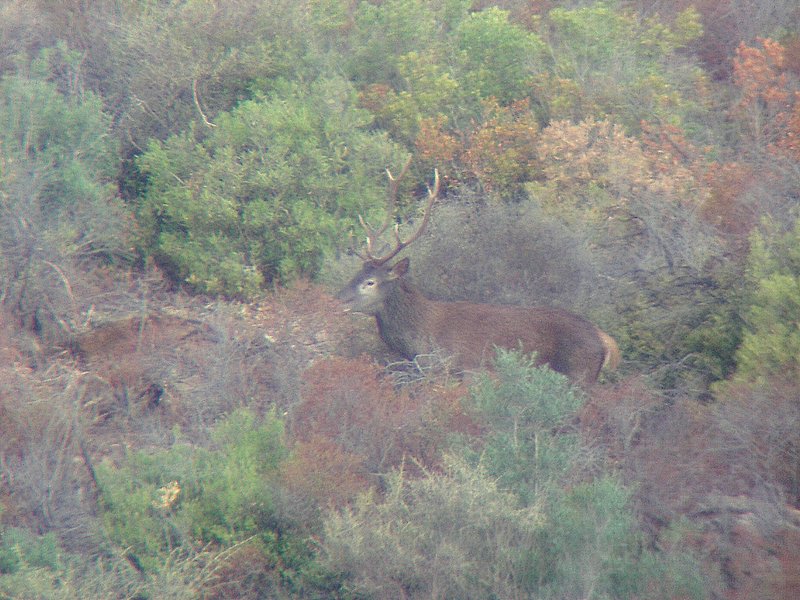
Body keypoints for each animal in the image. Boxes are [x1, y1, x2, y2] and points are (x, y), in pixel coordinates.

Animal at [334, 159, 620, 386]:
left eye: (370, 282)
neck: (422, 341)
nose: (336, 300)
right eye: (356, 274)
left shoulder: (467, 370)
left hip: (578, 375)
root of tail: (606, 342)